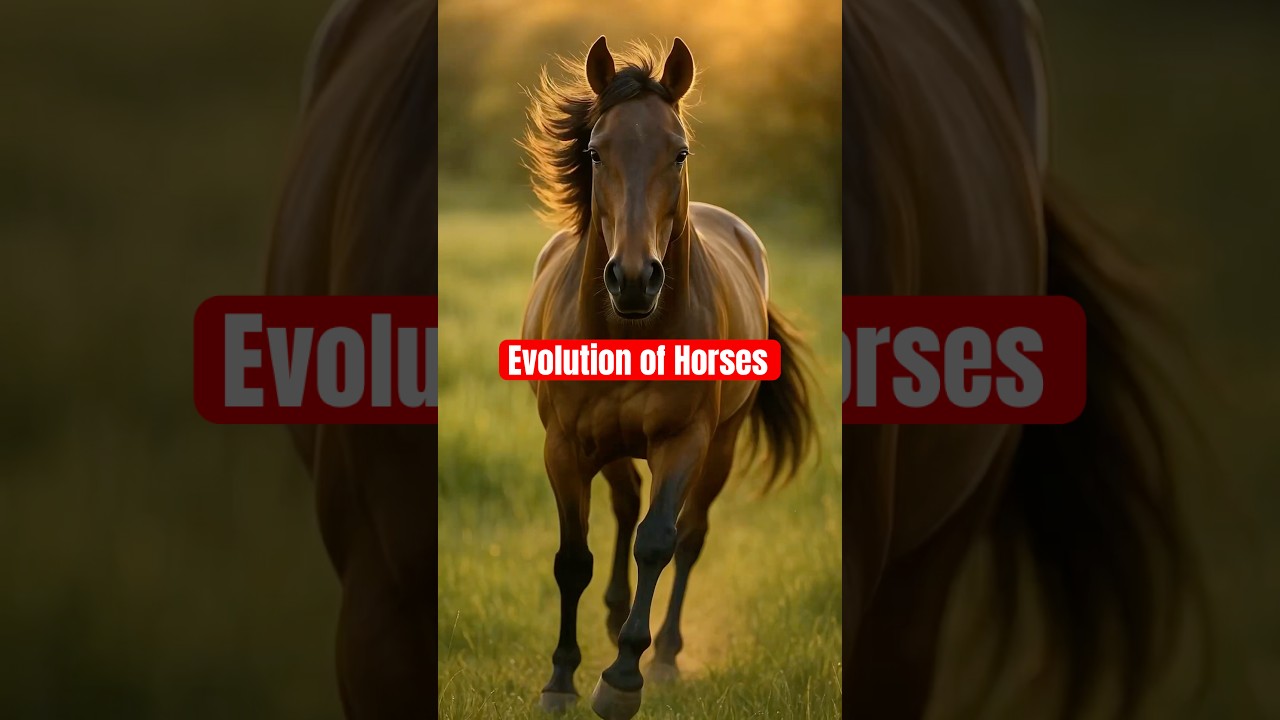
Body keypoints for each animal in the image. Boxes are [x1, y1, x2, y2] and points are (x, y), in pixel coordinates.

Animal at [519, 37, 819, 720]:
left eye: (678, 153)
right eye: (595, 152)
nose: (634, 279)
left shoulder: (685, 441)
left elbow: (658, 541)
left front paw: (623, 677)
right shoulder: (564, 446)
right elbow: (572, 558)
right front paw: (561, 678)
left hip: (721, 444)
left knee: (689, 536)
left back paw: (665, 655)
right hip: (609, 446)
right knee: (625, 503)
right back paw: (611, 619)